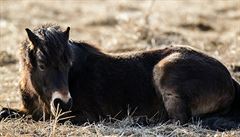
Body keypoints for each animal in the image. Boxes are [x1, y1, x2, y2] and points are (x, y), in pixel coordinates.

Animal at [0, 24, 240, 131]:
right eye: (42, 64)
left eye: (68, 65)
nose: (64, 102)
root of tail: (230, 80)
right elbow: (6, 112)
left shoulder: (82, 116)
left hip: (166, 69)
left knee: (179, 120)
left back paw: (138, 120)